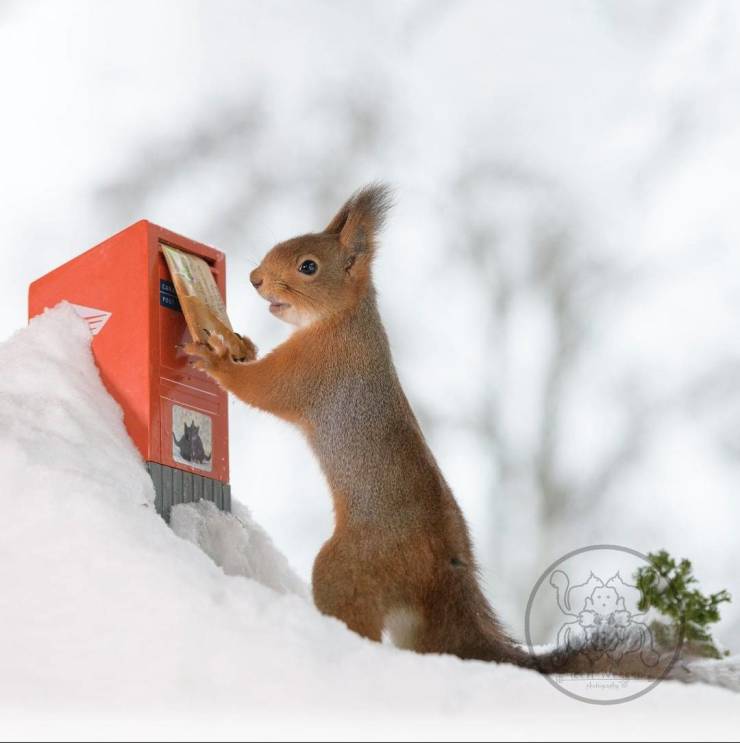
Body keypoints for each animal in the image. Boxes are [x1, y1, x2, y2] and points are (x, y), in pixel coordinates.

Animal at [184, 185, 684, 680]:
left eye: (308, 266)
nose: (254, 278)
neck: (342, 319)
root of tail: (443, 571)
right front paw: (242, 346)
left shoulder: (313, 369)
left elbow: (262, 389)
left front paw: (216, 360)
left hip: (349, 566)